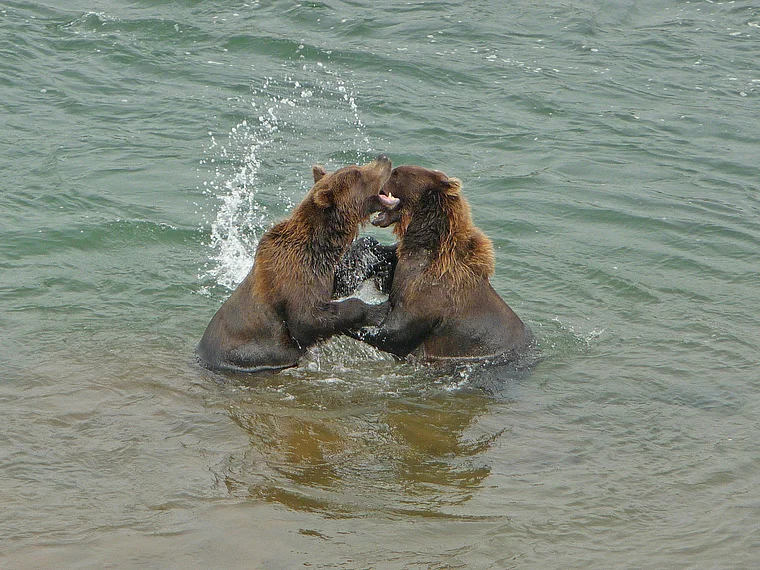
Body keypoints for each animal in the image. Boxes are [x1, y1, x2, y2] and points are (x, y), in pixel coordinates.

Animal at [196, 154, 399, 373]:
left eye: (356, 167)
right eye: (358, 173)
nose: (383, 158)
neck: (318, 244)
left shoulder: (321, 268)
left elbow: (341, 282)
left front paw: (375, 249)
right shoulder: (294, 273)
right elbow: (306, 320)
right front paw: (379, 309)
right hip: (246, 355)